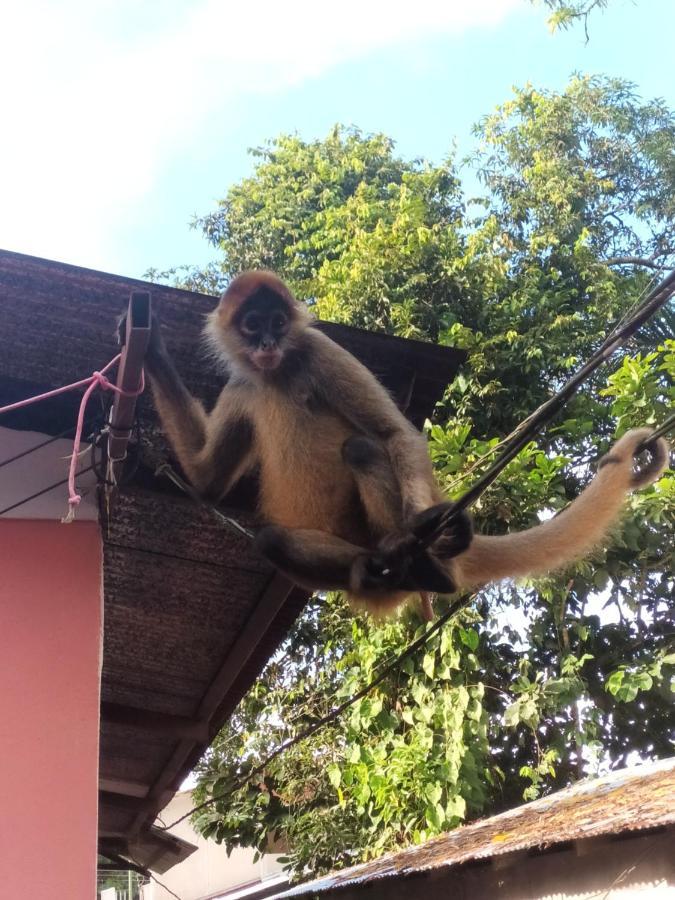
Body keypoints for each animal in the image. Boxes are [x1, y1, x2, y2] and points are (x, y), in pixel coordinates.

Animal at [143, 270, 672, 616]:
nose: (269, 343)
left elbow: (393, 434)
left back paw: (420, 556)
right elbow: (209, 483)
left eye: (277, 322)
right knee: (276, 540)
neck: (275, 375)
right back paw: (371, 568)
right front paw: (149, 350)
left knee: (362, 449)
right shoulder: (241, 386)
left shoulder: (318, 350)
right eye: (253, 325)